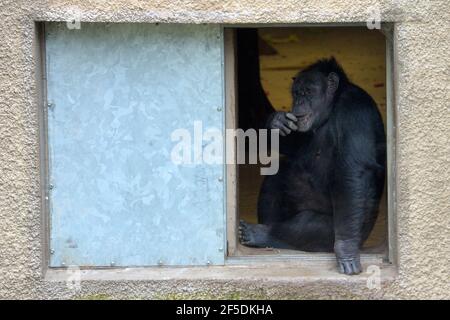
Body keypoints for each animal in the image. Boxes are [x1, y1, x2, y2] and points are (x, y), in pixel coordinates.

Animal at [239, 57, 386, 276]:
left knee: (308, 223)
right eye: (296, 93)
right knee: (277, 178)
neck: (333, 105)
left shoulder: (355, 112)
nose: (299, 101)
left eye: (308, 92)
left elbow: (352, 173)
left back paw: (261, 233)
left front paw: (347, 250)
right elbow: (297, 144)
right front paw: (276, 121)